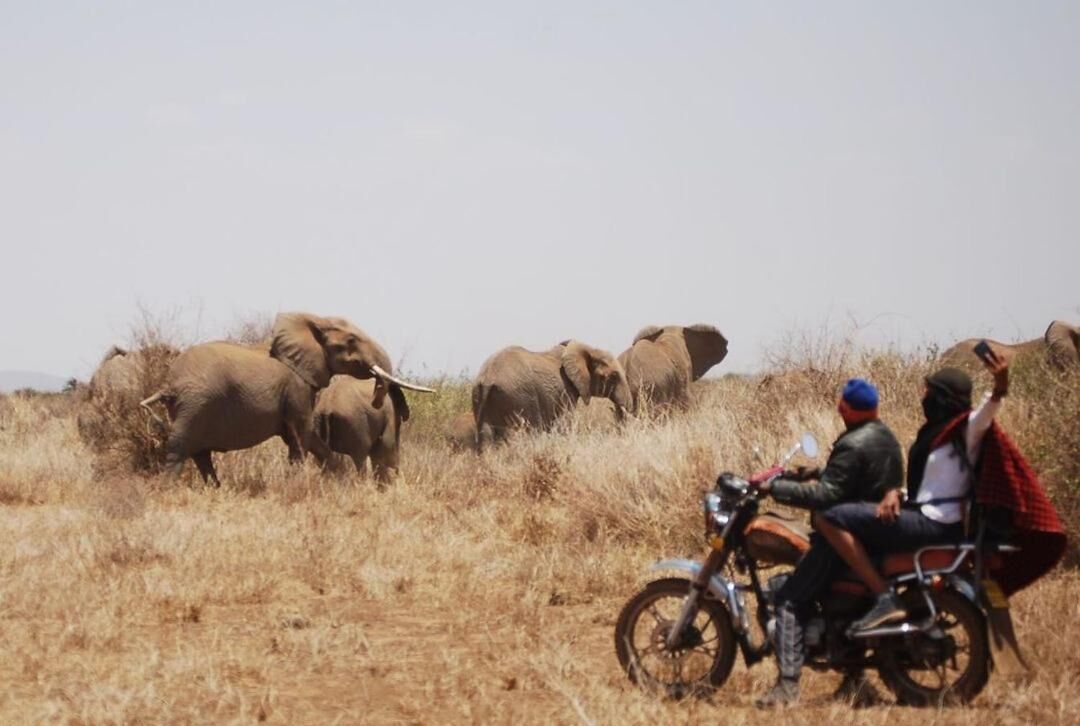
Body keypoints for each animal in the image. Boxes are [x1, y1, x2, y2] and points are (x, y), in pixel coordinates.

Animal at [140, 312, 432, 485]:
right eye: (351, 341)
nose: (375, 398)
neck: (313, 321)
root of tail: (169, 384)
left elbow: (308, 435)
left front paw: (336, 479)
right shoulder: (297, 387)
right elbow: (300, 434)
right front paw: (297, 484)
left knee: (201, 454)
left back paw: (214, 488)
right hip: (194, 403)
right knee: (181, 447)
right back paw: (169, 489)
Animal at [471, 340, 631, 447]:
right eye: (614, 376)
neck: (588, 350)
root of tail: (488, 377)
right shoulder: (566, 390)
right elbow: (565, 423)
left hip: (480, 397)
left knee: (486, 436)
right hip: (518, 397)